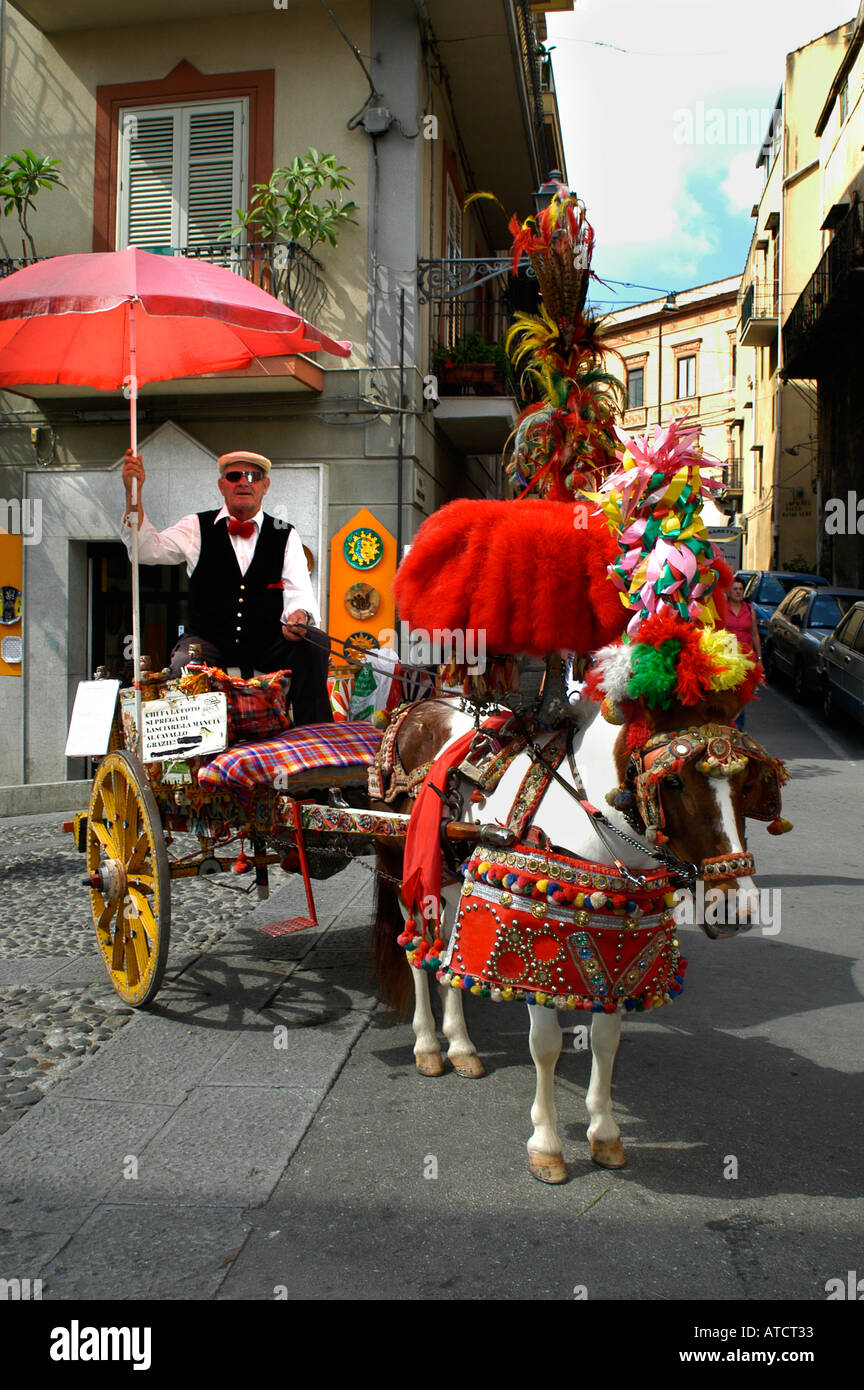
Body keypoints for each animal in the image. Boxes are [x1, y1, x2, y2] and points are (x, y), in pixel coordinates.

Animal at [372, 683, 772, 1184]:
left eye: (745, 784)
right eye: (674, 783)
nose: (737, 908)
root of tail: (418, 704)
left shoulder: (620, 949)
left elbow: (606, 1040)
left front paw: (604, 1134)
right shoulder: (534, 954)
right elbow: (545, 1047)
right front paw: (547, 1146)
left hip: (449, 872)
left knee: (445, 953)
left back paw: (461, 1046)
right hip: (404, 865)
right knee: (416, 955)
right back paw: (427, 1045)